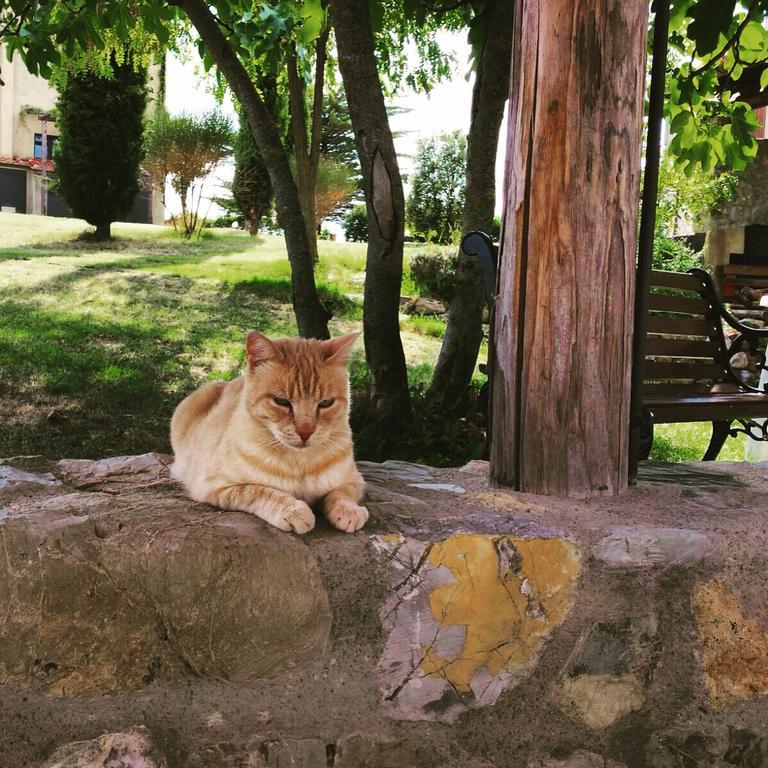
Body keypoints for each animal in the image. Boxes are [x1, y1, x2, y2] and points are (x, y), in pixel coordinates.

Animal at [172, 330, 368, 536]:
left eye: (326, 403)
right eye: (281, 401)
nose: (305, 432)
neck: (299, 465)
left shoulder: (354, 481)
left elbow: (340, 494)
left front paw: (349, 510)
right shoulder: (215, 485)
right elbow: (260, 491)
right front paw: (293, 510)